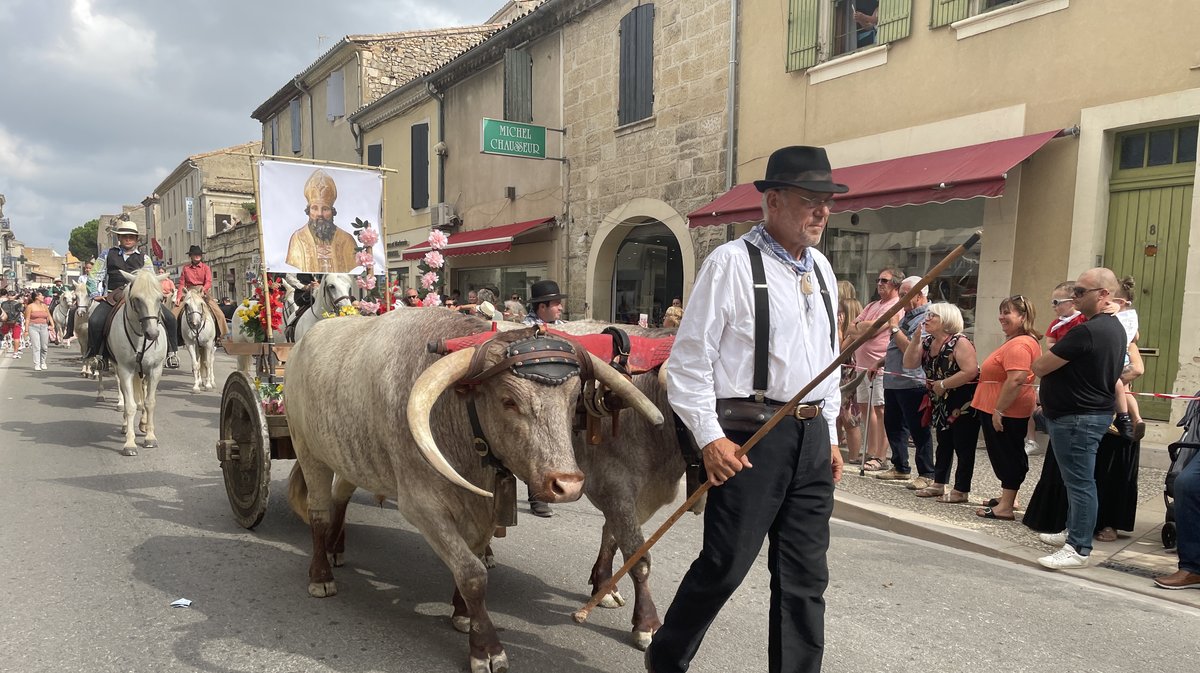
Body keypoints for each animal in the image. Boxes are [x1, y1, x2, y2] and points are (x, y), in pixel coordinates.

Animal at [102, 267, 169, 455]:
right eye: (136, 299)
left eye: (160, 298)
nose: (152, 334)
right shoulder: (125, 370)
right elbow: (130, 405)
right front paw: (130, 443)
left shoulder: (155, 370)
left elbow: (149, 402)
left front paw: (150, 437)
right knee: (127, 399)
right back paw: (126, 425)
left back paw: (143, 424)